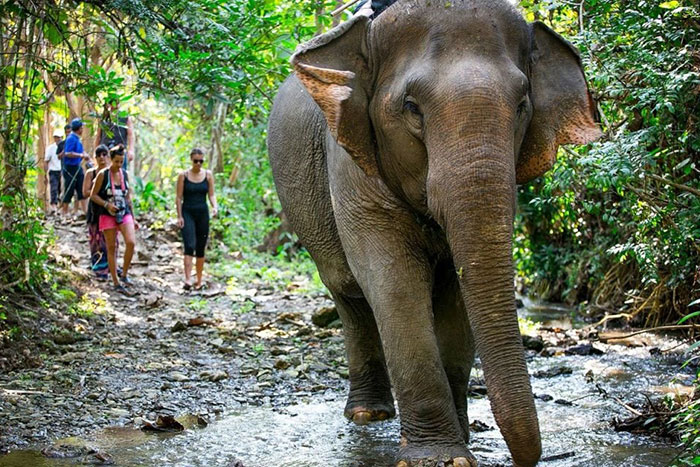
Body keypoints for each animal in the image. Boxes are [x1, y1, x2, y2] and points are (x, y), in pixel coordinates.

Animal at [268, 1, 600, 466]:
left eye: (522, 105)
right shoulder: (352, 164)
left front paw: (463, 439)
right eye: (411, 106)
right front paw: (440, 457)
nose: (531, 457)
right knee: (348, 293)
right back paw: (368, 414)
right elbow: (394, 283)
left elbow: (458, 294)